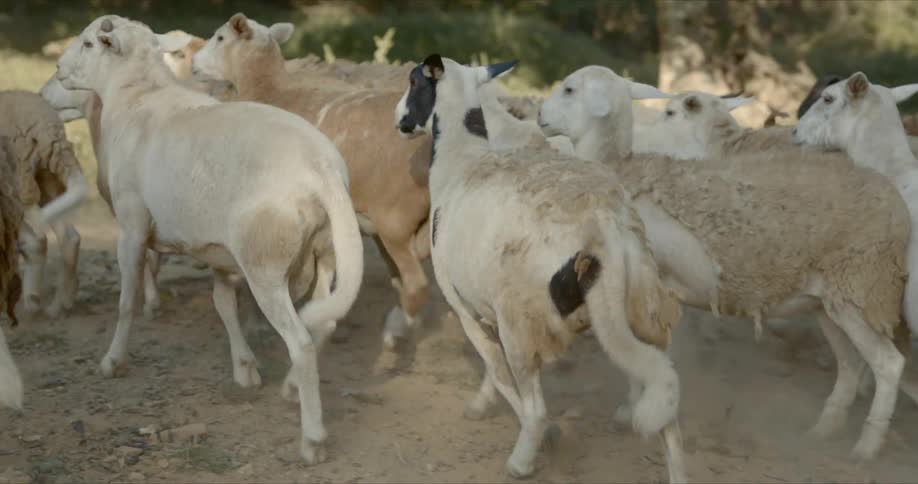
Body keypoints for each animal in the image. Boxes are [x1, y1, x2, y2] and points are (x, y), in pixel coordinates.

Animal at [0, 91, 89, 320]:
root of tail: (47, 128)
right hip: (48, 181)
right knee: (69, 237)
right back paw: (58, 306)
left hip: (20, 183)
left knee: (37, 240)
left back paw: (32, 301)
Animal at [52, 16, 363, 464]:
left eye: (90, 43)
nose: (58, 68)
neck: (138, 96)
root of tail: (322, 169)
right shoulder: (218, 252)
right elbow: (223, 305)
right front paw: (244, 368)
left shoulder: (131, 225)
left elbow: (127, 300)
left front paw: (113, 361)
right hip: (324, 253)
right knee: (325, 319)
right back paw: (290, 388)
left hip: (264, 264)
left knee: (302, 343)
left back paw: (312, 438)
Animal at [193, 13, 432, 352]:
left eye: (220, 38)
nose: (194, 63)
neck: (269, 91)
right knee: (406, 277)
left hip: (394, 221)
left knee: (416, 283)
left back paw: (395, 328)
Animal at [394, 54, 685, 482]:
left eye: (414, 81)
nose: (398, 120)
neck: (461, 157)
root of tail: (602, 226)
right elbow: (494, 374)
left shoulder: (467, 308)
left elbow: (498, 371)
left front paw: (538, 434)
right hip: (642, 310)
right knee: (667, 413)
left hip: (524, 318)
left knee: (536, 409)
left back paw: (521, 460)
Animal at [538, 65, 912, 461]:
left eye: (569, 89)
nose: (539, 115)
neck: (619, 166)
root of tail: (891, 195)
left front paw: (630, 409)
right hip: (830, 302)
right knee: (851, 363)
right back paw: (824, 429)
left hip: (861, 286)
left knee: (889, 364)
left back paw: (866, 446)